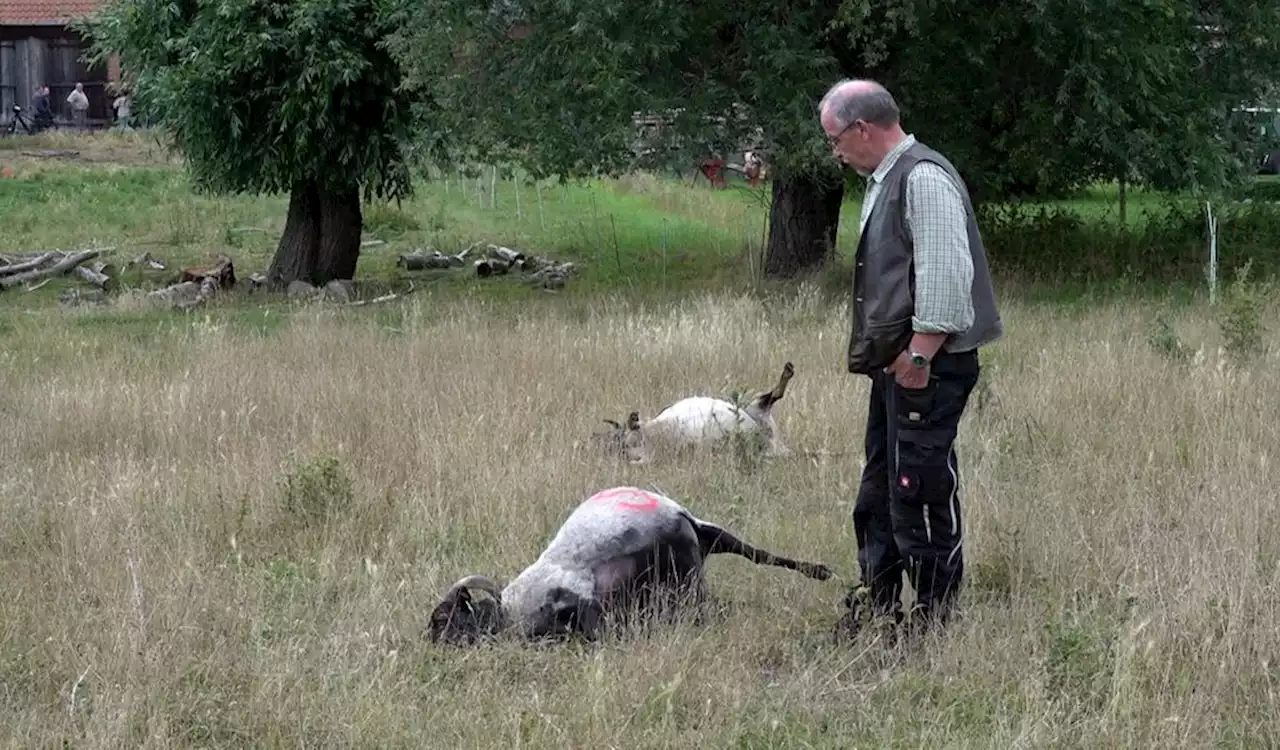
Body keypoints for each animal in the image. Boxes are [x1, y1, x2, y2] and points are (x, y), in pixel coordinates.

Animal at [424, 483, 834, 642]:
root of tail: (681, 517)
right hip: (702, 551)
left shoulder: (581, 603)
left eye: (442, 619)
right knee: (754, 556)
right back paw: (821, 571)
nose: (430, 643)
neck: (508, 612)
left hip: (690, 573)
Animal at [593, 358, 793, 458]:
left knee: (771, 397)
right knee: (772, 397)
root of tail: (775, 445)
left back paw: (788, 370)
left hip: (754, 409)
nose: (598, 439)